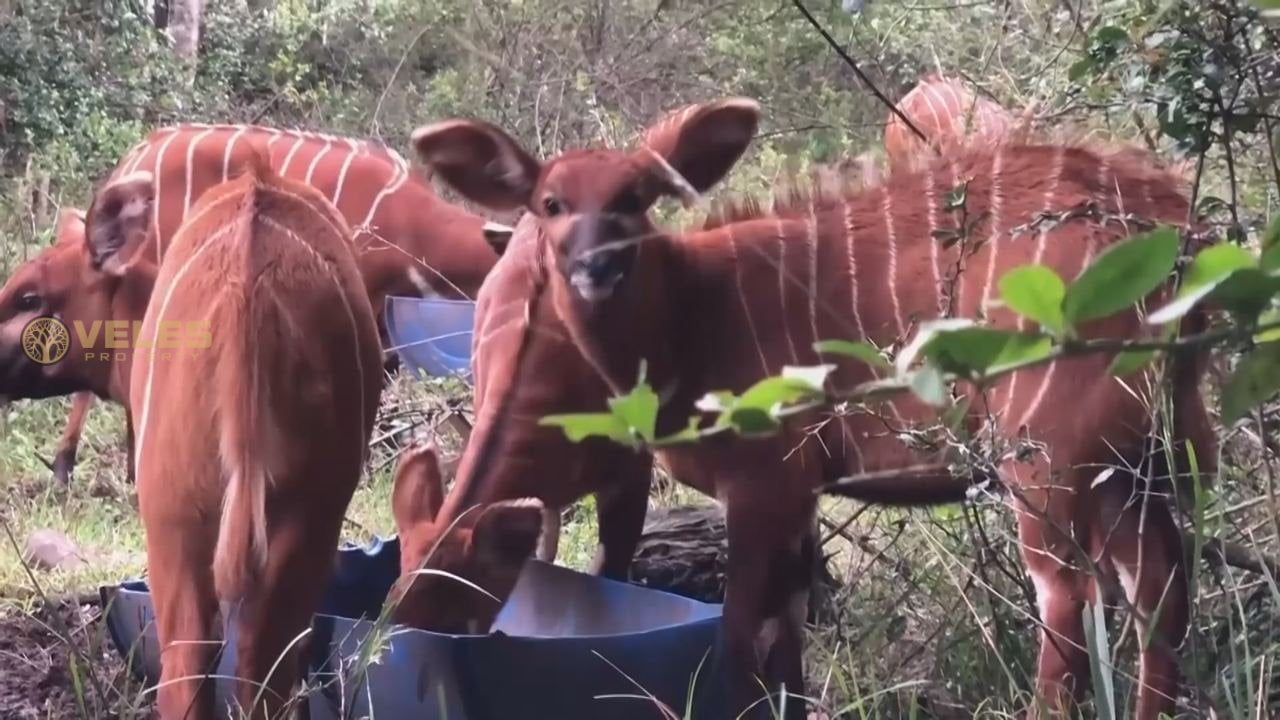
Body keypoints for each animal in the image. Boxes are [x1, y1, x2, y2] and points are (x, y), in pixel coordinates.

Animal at [412, 96, 1218, 717]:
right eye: (550, 202)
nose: (595, 266)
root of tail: (1179, 229)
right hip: (1131, 459)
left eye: (633, 200)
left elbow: (740, 637)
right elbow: (788, 636)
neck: (692, 314)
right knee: (1159, 590)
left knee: (1068, 599)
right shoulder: (798, 495)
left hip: (1047, 451)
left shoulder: (762, 481)